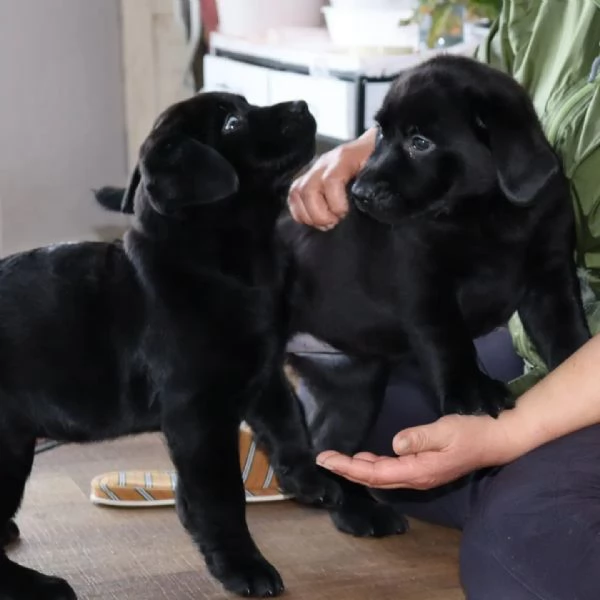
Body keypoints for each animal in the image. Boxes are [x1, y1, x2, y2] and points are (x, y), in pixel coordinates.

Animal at [0, 90, 340, 600]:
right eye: (233, 123)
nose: (301, 104)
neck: (227, 264)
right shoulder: (198, 414)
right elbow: (219, 497)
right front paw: (241, 565)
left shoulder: (262, 372)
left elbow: (289, 422)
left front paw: (308, 476)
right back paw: (38, 583)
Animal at [280, 55, 592, 536]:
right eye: (381, 133)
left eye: (420, 142)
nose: (359, 192)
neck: (485, 212)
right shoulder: (423, 282)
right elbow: (448, 341)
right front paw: (472, 393)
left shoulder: (550, 277)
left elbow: (567, 335)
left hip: (351, 381)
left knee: (328, 447)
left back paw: (355, 509)